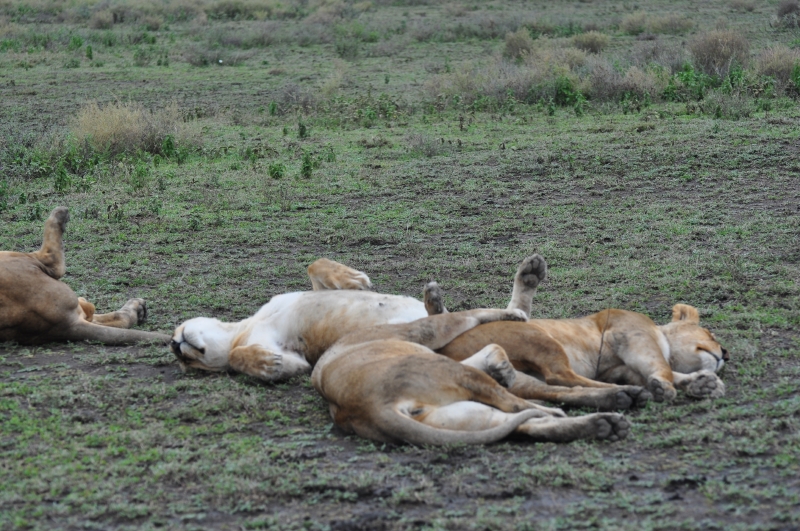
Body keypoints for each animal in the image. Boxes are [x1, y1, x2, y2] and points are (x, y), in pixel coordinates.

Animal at [0, 207, 169, 345]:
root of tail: (67, 325)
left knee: (98, 315)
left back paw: (138, 308)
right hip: (17, 259)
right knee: (53, 260)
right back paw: (60, 214)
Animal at [171, 254, 649, 411]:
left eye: (186, 354)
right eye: (193, 366)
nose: (177, 348)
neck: (243, 328)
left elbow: (316, 267)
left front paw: (355, 278)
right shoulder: (296, 354)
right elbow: (256, 360)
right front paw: (266, 364)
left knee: (513, 310)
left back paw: (525, 277)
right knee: (501, 318)